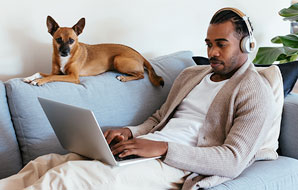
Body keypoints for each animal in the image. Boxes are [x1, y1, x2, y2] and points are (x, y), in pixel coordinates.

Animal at [23, 16, 164, 87]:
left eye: (71, 41)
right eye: (58, 39)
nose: (64, 52)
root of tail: (140, 55)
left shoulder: (73, 77)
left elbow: (51, 77)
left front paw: (39, 81)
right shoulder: (56, 72)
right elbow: (41, 72)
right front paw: (30, 77)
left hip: (118, 59)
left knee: (141, 75)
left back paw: (123, 77)